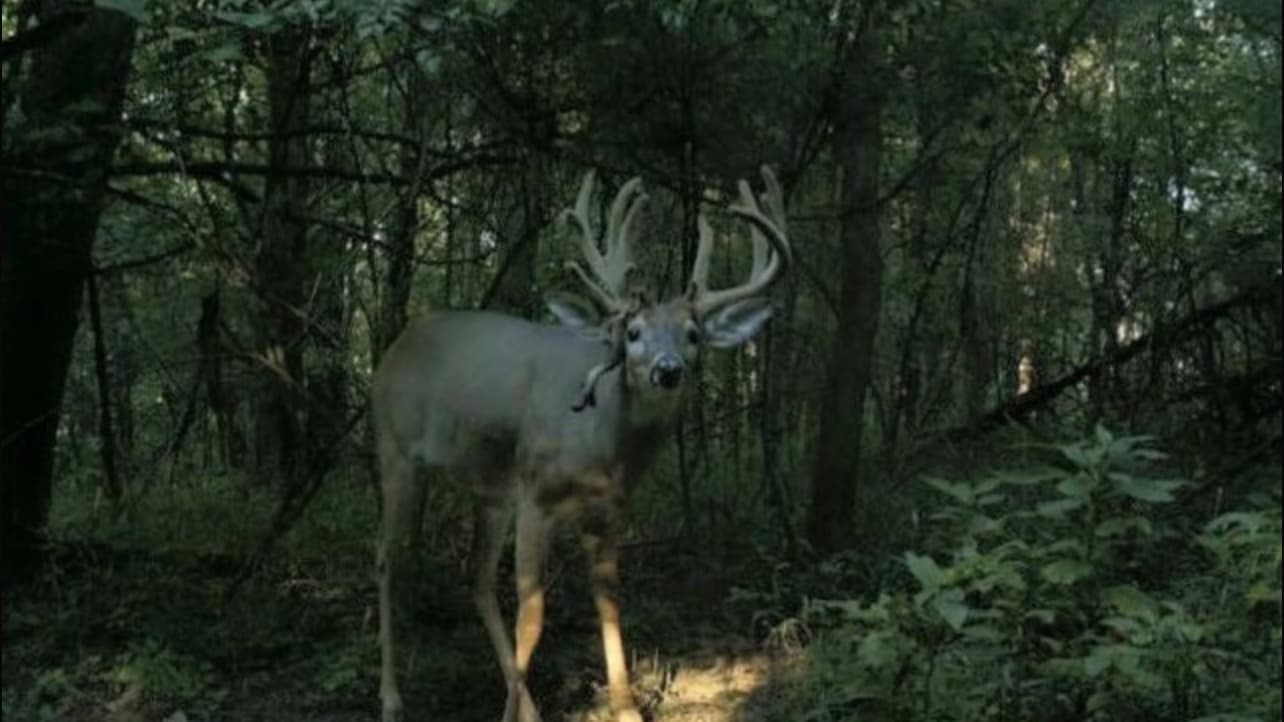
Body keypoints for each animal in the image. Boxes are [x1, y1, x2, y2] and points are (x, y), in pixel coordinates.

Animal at [372, 165, 790, 722]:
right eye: (633, 332)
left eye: (694, 334)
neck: (600, 447)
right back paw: (391, 696)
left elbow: (608, 600)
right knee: (386, 557)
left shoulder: (609, 510)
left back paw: (524, 702)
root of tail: (393, 348)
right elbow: (532, 614)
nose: (668, 370)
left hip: (490, 486)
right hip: (395, 450)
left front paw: (627, 708)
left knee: (476, 577)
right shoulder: (536, 494)